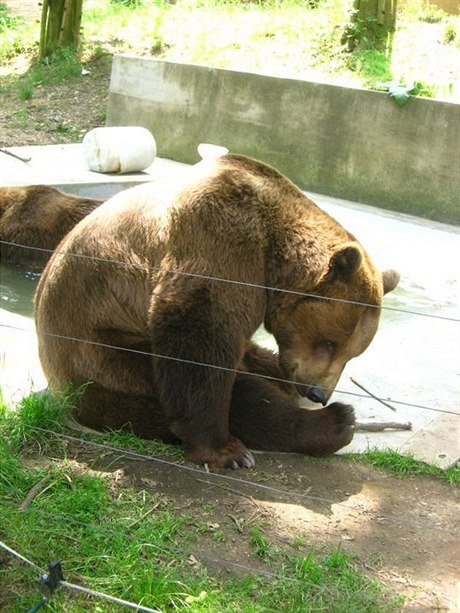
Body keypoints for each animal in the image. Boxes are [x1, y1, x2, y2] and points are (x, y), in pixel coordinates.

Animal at [34, 154, 398, 468]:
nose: (318, 392)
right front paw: (224, 451)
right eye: (330, 343)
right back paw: (335, 422)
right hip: (108, 350)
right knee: (240, 397)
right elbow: (201, 341)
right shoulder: (222, 241)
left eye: (352, 353)